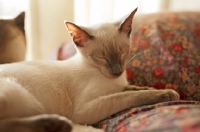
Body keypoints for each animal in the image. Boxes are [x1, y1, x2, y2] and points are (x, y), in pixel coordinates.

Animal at [0, 8, 179, 132]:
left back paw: (55, 124)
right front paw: (168, 94)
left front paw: (156, 89)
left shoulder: (118, 85)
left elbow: (133, 88)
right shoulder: (87, 108)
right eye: (102, 57)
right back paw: (56, 124)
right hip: (16, 94)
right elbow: (131, 95)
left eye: (123, 52)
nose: (117, 72)